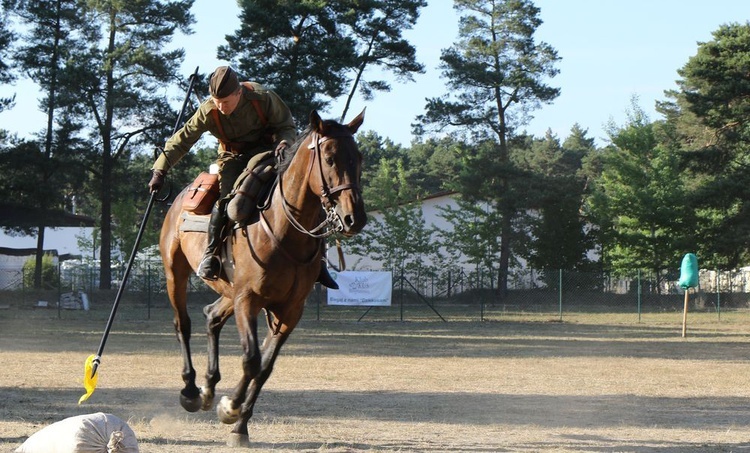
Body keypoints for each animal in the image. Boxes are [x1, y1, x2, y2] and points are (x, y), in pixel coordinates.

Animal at [159, 108, 370, 444]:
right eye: (329, 158)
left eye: (359, 157)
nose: (354, 218)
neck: (285, 230)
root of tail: (180, 198)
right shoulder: (249, 300)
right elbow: (252, 359)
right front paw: (230, 408)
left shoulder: (290, 310)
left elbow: (265, 368)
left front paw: (240, 427)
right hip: (175, 274)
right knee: (184, 324)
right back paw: (191, 390)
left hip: (229, 291)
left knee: (212, 316)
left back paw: (208, 387)